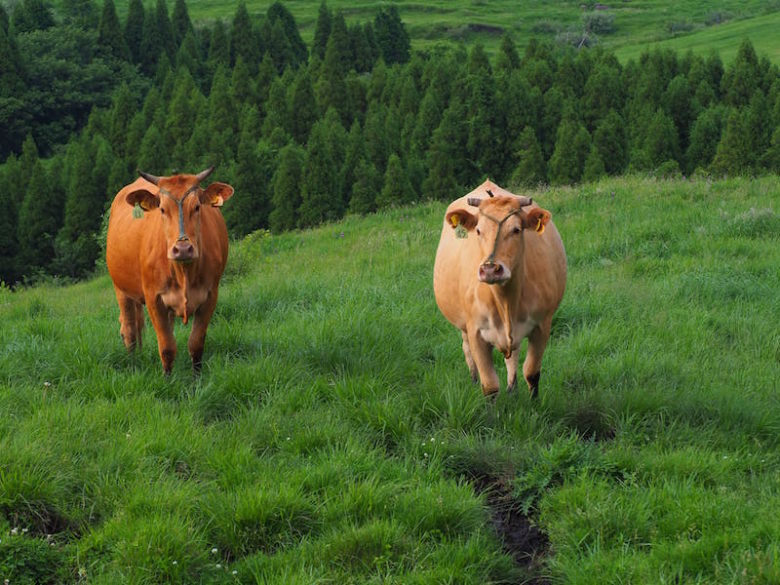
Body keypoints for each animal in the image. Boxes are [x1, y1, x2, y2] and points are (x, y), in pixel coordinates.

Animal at [106, 167, 235, 372]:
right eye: (162, 209)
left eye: (197, 207)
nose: (182, 249)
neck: (185, 273)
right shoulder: (154, 298)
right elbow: (166, 347)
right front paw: (168, 378)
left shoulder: (210, 296)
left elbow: (196, 344)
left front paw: (196, 378)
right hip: (120, 288)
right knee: (129, 329)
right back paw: (133, 363)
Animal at [432, 179, 568, 396]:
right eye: (478, 230)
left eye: (516, 230)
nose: (490, 269)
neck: (505, 300)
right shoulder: (476, 332)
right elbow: (489, 386)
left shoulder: (542, 325)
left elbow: (531, 373)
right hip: (462, 324)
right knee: (466, 349)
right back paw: (473, 380)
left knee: (513, 355)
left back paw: (512, 387)